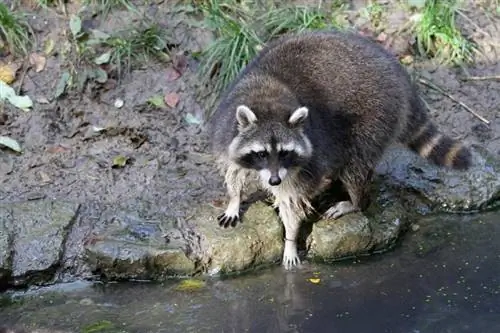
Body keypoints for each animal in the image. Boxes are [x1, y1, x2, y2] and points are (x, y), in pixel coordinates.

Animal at [205, 27, 470, 268]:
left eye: (284, 153)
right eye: (260, 153)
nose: (274, 181)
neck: (268, 100)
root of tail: (400, 77)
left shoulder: (305, 159)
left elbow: (292, 197)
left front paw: (290, 238)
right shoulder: (225, 129)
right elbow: (233, 168)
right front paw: (234, 199)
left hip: (374, 116)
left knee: (356, 162)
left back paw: (356, 201)